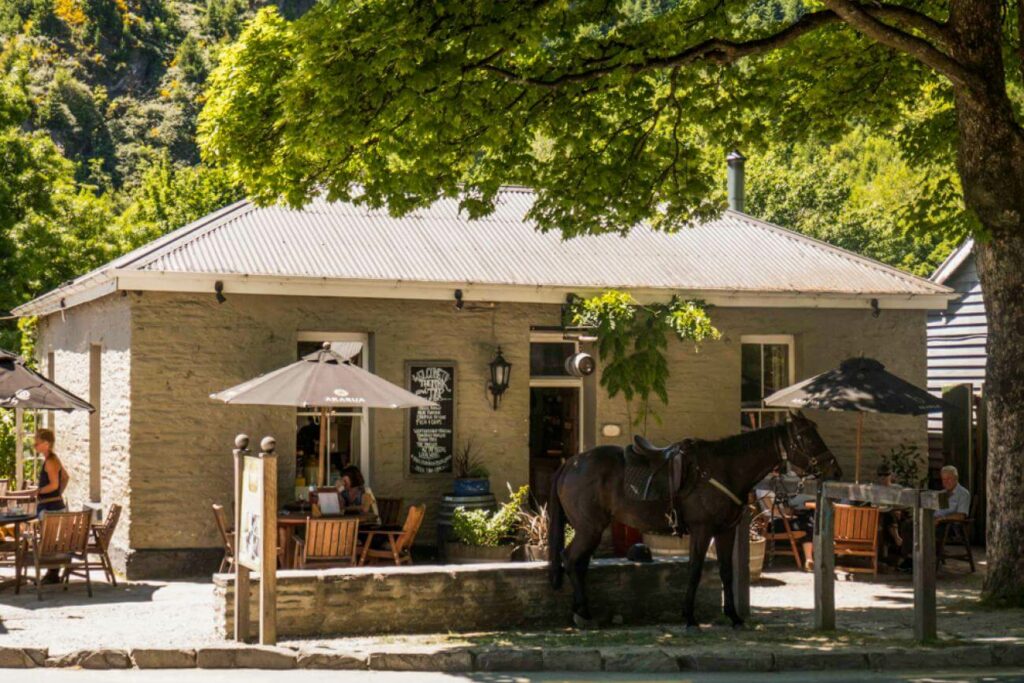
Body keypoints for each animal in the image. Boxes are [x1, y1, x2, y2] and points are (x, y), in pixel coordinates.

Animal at [548, 411, 843, 630]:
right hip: (590, 528)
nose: (834, 470)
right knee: (571, 559)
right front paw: (689, 617)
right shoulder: (702, 530)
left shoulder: (726, 530)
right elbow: (695, 570)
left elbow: (726, 571)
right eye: (808, 437)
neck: (724, 470)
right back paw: (583, 614)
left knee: (579, 564)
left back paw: (581, 611)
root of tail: (570, 464)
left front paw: (734, 616)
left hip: (590, 529)